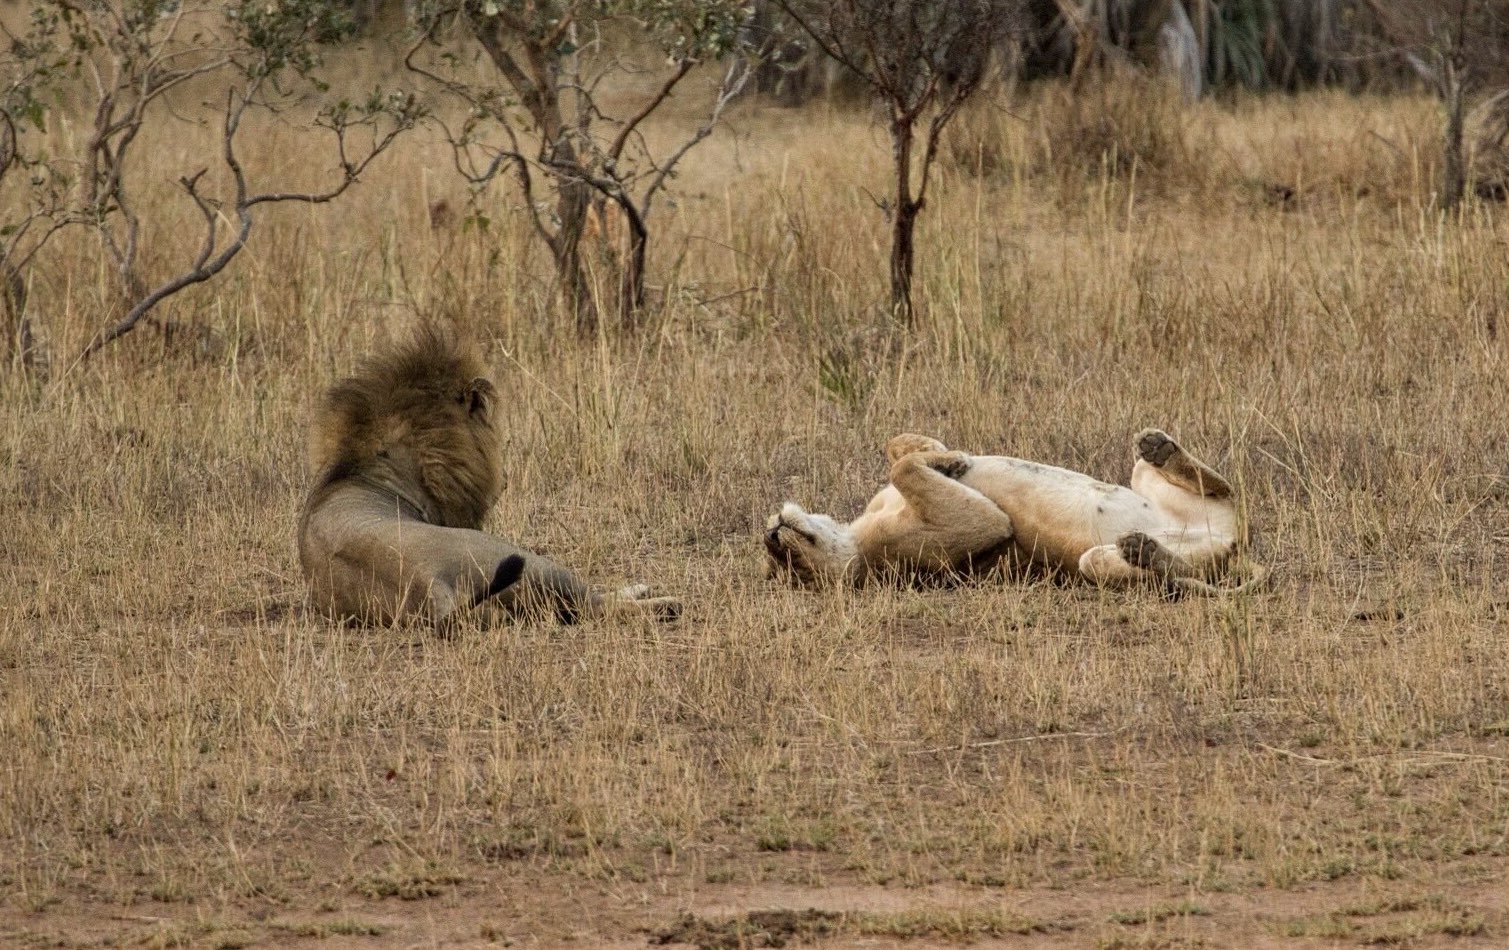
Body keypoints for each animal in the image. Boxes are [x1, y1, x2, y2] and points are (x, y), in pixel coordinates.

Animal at [764, 429, 1266, 595]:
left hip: (1151, 481)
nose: (770, 539)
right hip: (1095, 563)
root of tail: (1235, 548)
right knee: (1182, 567)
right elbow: (903, 466)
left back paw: (1158, 446)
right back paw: (1143, 549)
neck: (855, 539)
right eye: (793, 571)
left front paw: (950, 458)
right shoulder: (974, 529)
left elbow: (898, 450)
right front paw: (947, 461)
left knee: (1223, 491)